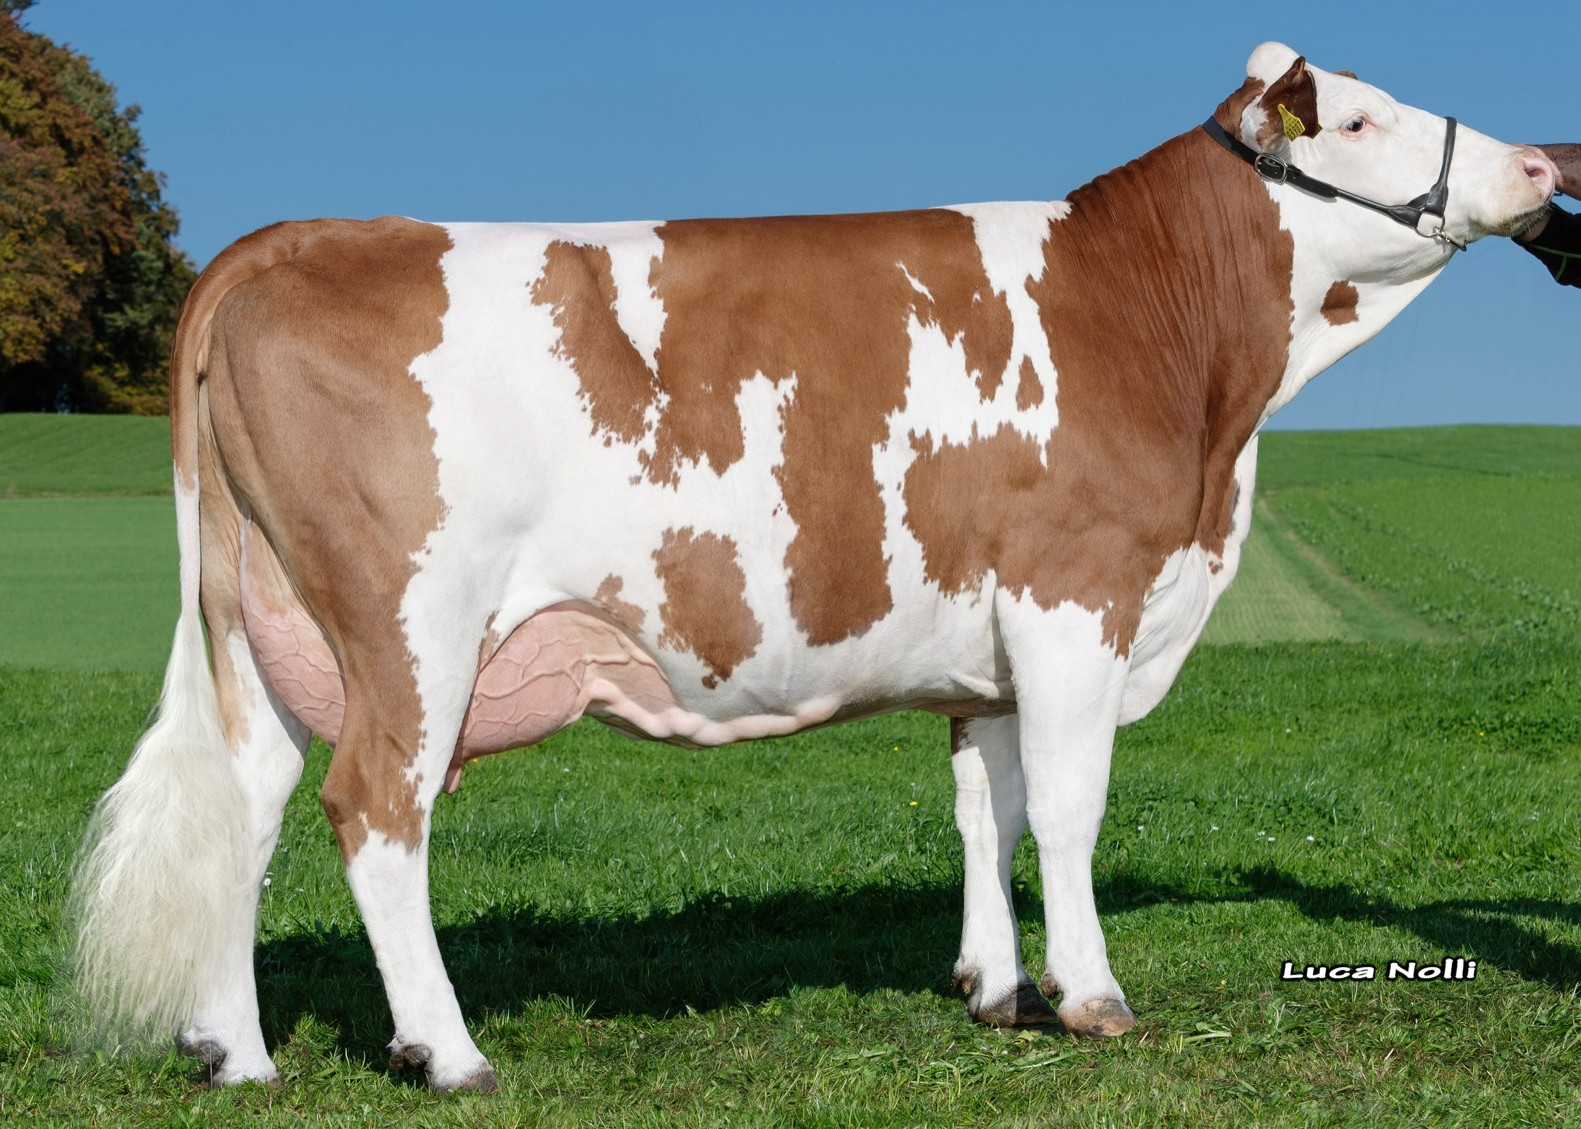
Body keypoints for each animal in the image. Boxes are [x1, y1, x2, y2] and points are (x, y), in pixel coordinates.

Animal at [71, 42, 1555, 1091]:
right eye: (1356, 121)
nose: (1544, 166)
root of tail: (302, 234)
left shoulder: (986, 643)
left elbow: (987, 808)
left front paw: (993, 988)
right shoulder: (1075, 595)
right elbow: (1069, 810)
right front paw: (1090, 997)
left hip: (262, 623)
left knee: (247, 803)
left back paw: (238, 1053)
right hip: (411, 623)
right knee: (376, 808)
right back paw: (451, 1051)